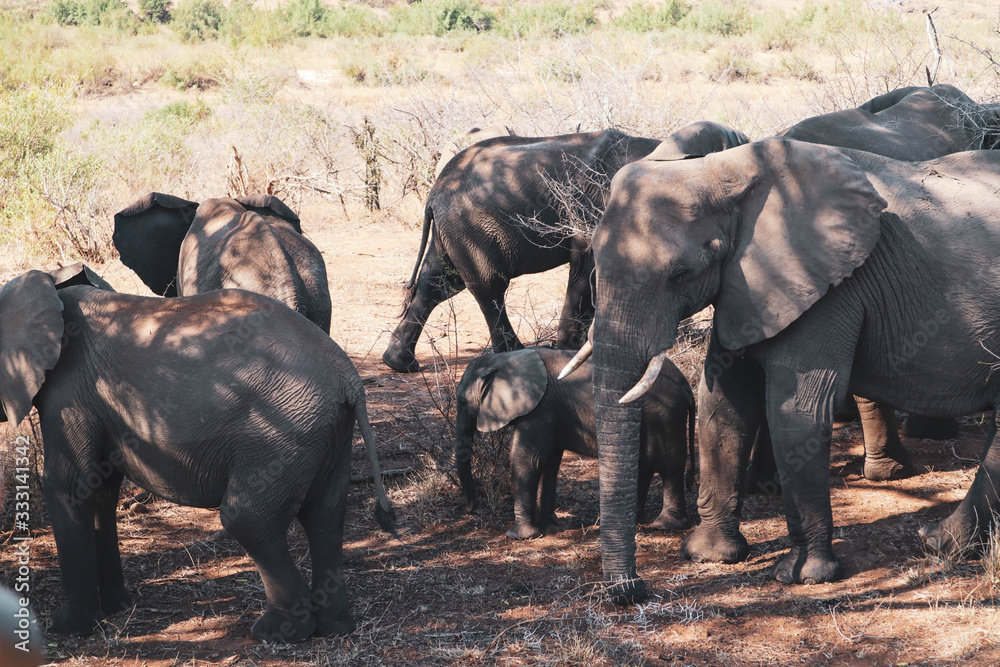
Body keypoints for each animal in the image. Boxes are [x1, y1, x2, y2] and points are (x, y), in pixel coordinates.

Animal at [0, 264, 395, 642]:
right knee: (325, 515)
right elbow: (100, 491)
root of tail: (349, 379)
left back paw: (278, 633)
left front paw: (68, 629)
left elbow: (69, 487)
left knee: (247, 518)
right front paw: (116, 609)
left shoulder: (69, 395)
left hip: (283, 431)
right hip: (326, 429)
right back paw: (336, 627)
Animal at [382, 121, 749, 373]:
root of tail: (435, 190)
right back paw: (517, 352)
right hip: (471, 226)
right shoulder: (596, 205)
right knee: (488, 287)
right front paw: (571, 348)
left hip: (454, 229)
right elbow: (587, 263)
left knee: (439, 283)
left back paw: (400, 363)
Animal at [455, 347, 694, 539]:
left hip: (663, 416)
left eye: (462, 402)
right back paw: (635, 521)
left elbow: (527, 461)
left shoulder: (539, 409)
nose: (469, 510)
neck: (503, 359)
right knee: (645, 465)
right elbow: (549, 463)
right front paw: (550, 527)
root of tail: (687, 386)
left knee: (668, 466)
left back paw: (665, 526)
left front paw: (520, 536)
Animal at [562, 137, 1000, 600]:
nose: (635, 590)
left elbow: (794, 411)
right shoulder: (745, 285)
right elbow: (723, 402)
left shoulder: (829, 288)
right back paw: (941, 543)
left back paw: (936, 543)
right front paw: (709, 556)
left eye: (682, 274)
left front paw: (805, 577)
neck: (725, 171)